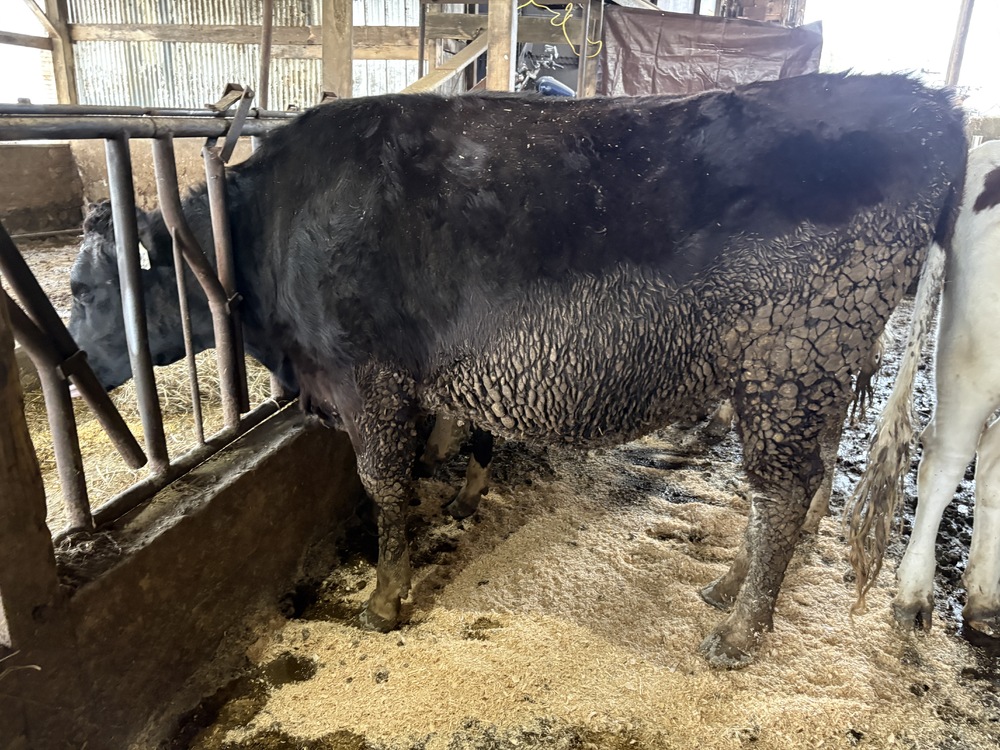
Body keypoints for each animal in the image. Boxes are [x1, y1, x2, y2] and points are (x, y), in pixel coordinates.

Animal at [67, 73, 966, 667]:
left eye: (82, 288)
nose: (84, 370)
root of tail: (925, 103)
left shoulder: (368, 376)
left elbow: (385, 483)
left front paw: (386, 597)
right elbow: (463, 442)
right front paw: (465, 499)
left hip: (794, 353)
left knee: (780, 491)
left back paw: (739, 631)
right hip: (811, 363)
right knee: (802, 479)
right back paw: (731, 587)